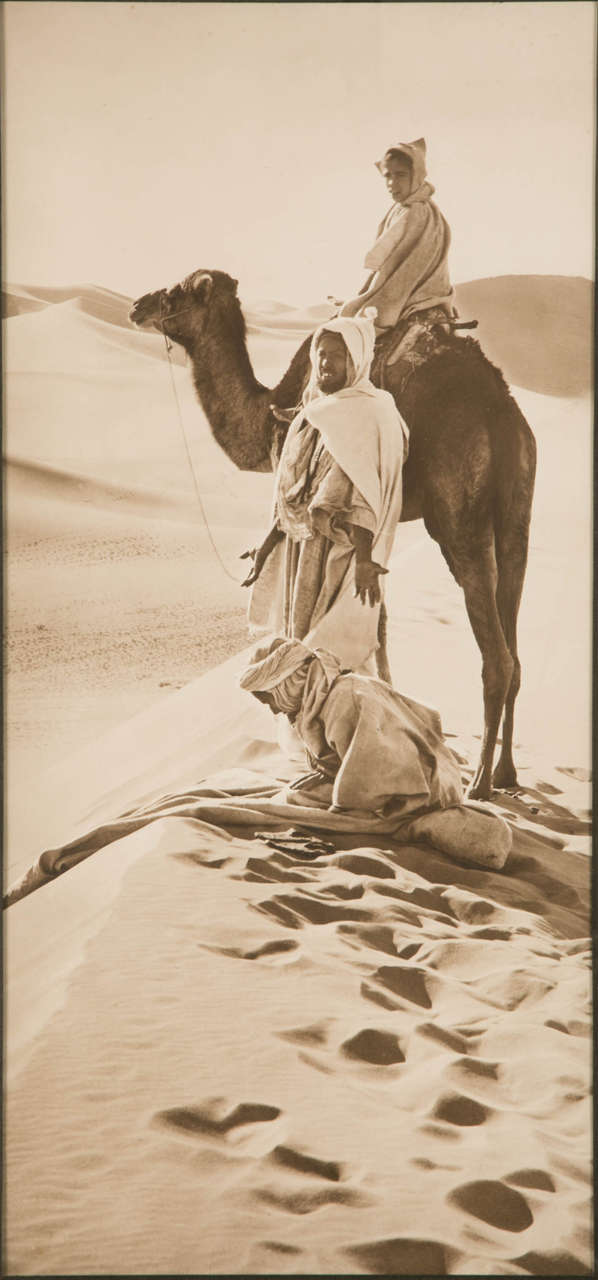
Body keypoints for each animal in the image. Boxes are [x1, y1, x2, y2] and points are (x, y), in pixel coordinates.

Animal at [129, 267, 537, 798]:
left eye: (177, 291)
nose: (138, 305)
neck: (271, 410)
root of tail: (501, 414)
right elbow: (378, 619)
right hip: (516, 520)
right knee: (515, 646)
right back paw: (507, 771)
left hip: (458, 520)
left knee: (497, 657)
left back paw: (480, 784)